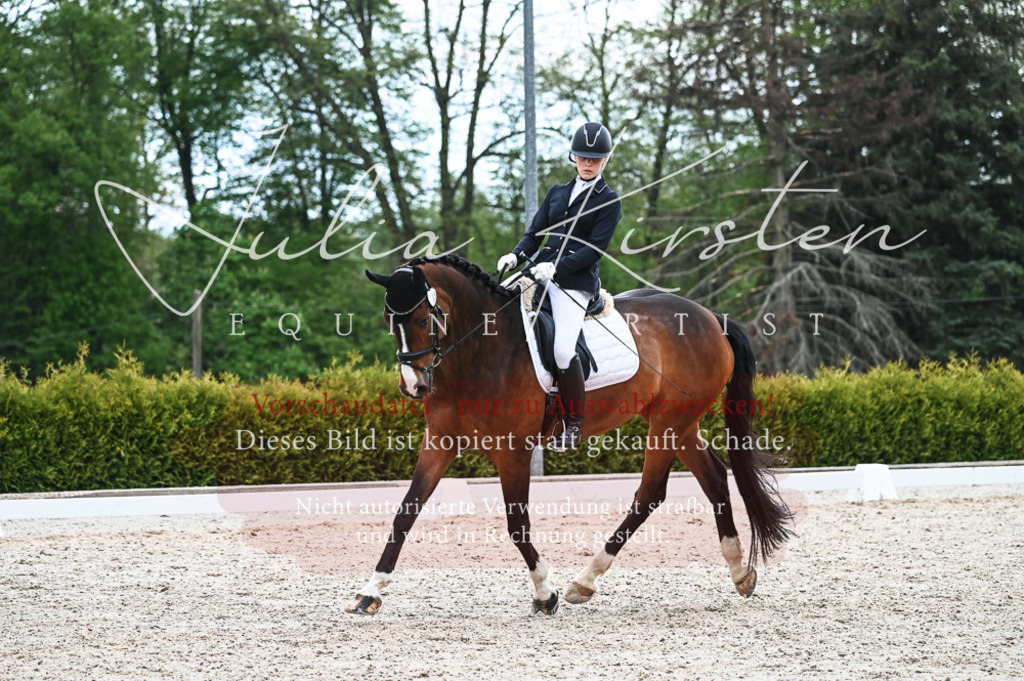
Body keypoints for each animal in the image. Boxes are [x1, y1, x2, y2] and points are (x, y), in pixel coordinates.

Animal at [348, 253, 791, 616]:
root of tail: (711, 318)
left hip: (669, 422)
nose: (414, 386)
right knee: (713, 477)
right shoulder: (439, 443)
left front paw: (546, 593)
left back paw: (585, 580)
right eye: (389, 322)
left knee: (650, 493)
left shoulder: (513, 452)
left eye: (424, 320)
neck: (480, 350)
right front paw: (370, 591)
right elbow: (405, 512)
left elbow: (517, 524)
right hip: (681, 424)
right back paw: (739, 571)